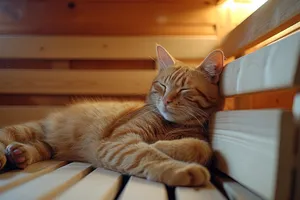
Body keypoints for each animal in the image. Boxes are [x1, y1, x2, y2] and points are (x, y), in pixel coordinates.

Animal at [0, 44, 223, 187]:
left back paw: (19, 154)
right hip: (25, 130)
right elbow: (147, 154)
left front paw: (163, 146)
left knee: (41, 147)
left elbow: (204, 149)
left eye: (185, 90)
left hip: (50, 146)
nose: (166, 100)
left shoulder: (198, 138)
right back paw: (6, 157)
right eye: (162, 86)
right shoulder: (118, 141)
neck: (170, 126)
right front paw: (178, 168)